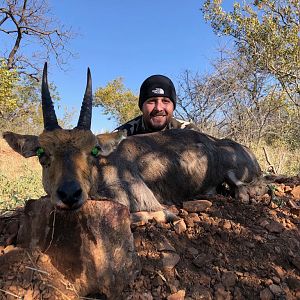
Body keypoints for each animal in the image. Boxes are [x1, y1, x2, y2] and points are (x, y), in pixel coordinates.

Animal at [2, 63, 264, 220]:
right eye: (42, 153)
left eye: (94, 151)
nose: (69, 194)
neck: (102, 170)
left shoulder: (145, 200)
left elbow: (150, 213)